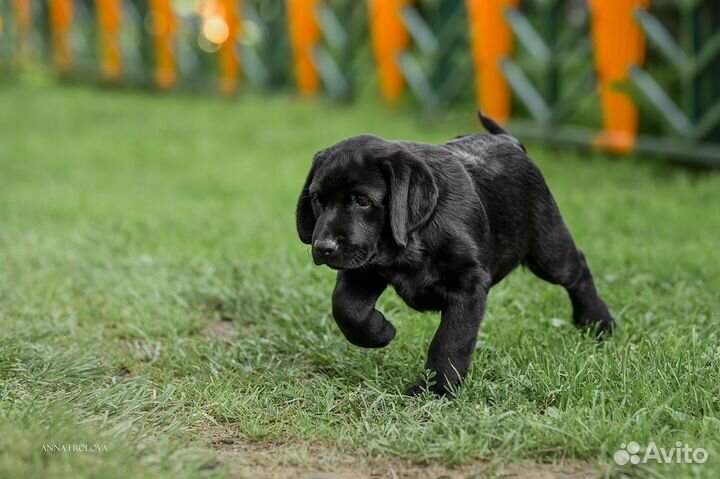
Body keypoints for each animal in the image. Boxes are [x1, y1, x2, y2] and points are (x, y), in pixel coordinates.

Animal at [296, 114, 612, 396]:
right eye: (318, 200)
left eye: (362, 201)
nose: (323, 247)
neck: (415, 236)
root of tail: (507, 140)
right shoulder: (364, 268)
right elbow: (346, 308)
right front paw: (381, 332)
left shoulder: (468, 285)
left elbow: (450, 339)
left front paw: (435, 389)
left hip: (548, 250)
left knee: (578, 269)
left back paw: (597, 323)